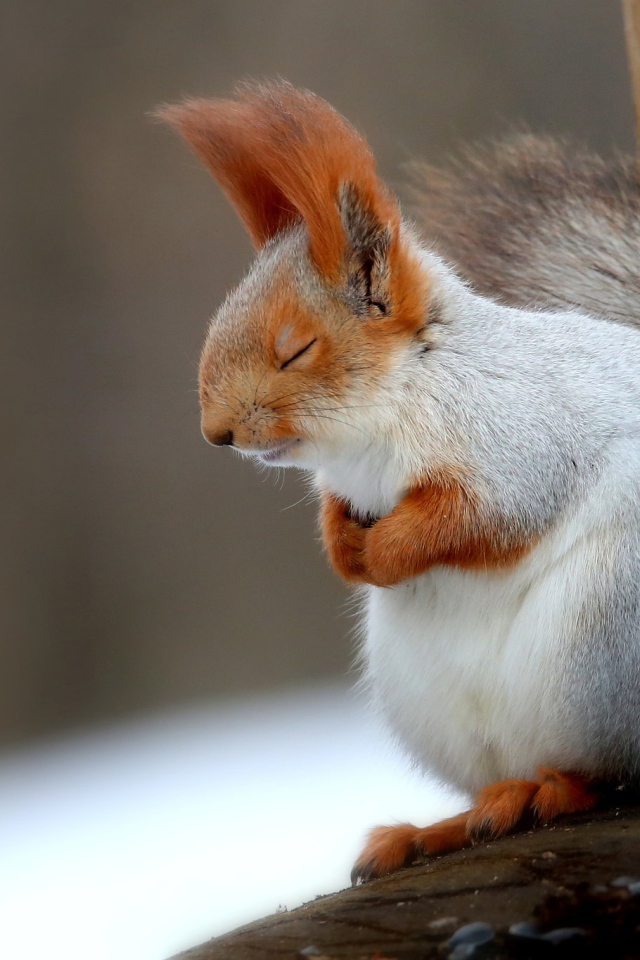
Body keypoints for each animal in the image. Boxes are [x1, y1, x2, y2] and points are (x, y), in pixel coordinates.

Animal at [158, 84, 640, 884]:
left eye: (296, 349)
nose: (216, 432)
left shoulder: (524, 443)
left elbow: (474, 519)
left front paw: (384, 554)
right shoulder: (349, 483)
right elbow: (339, 514)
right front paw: (343, 552)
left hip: (599, 638)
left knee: (607, 774)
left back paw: (549, 791)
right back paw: (438, 828)